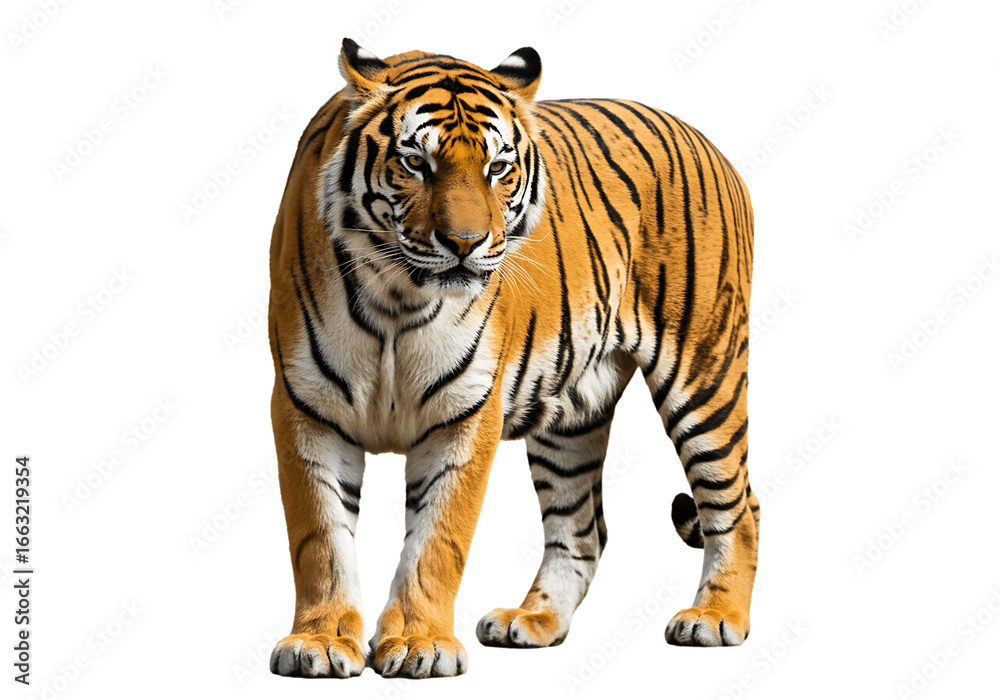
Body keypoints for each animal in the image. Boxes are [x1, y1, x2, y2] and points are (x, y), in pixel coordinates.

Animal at [267, 38, 759, 679]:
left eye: (497, 168)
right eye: (415, 163)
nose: (465, 243)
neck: (397, 297)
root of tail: (707, 141)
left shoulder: (465, 411)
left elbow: (437, 540)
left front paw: (420, 644)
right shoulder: (306, 406)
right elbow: (320, 539)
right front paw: (321, 643)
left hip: (705, 370)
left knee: (737, 504)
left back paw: (716, 617)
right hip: (572, 413)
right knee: (583, 529)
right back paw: (534, 620)